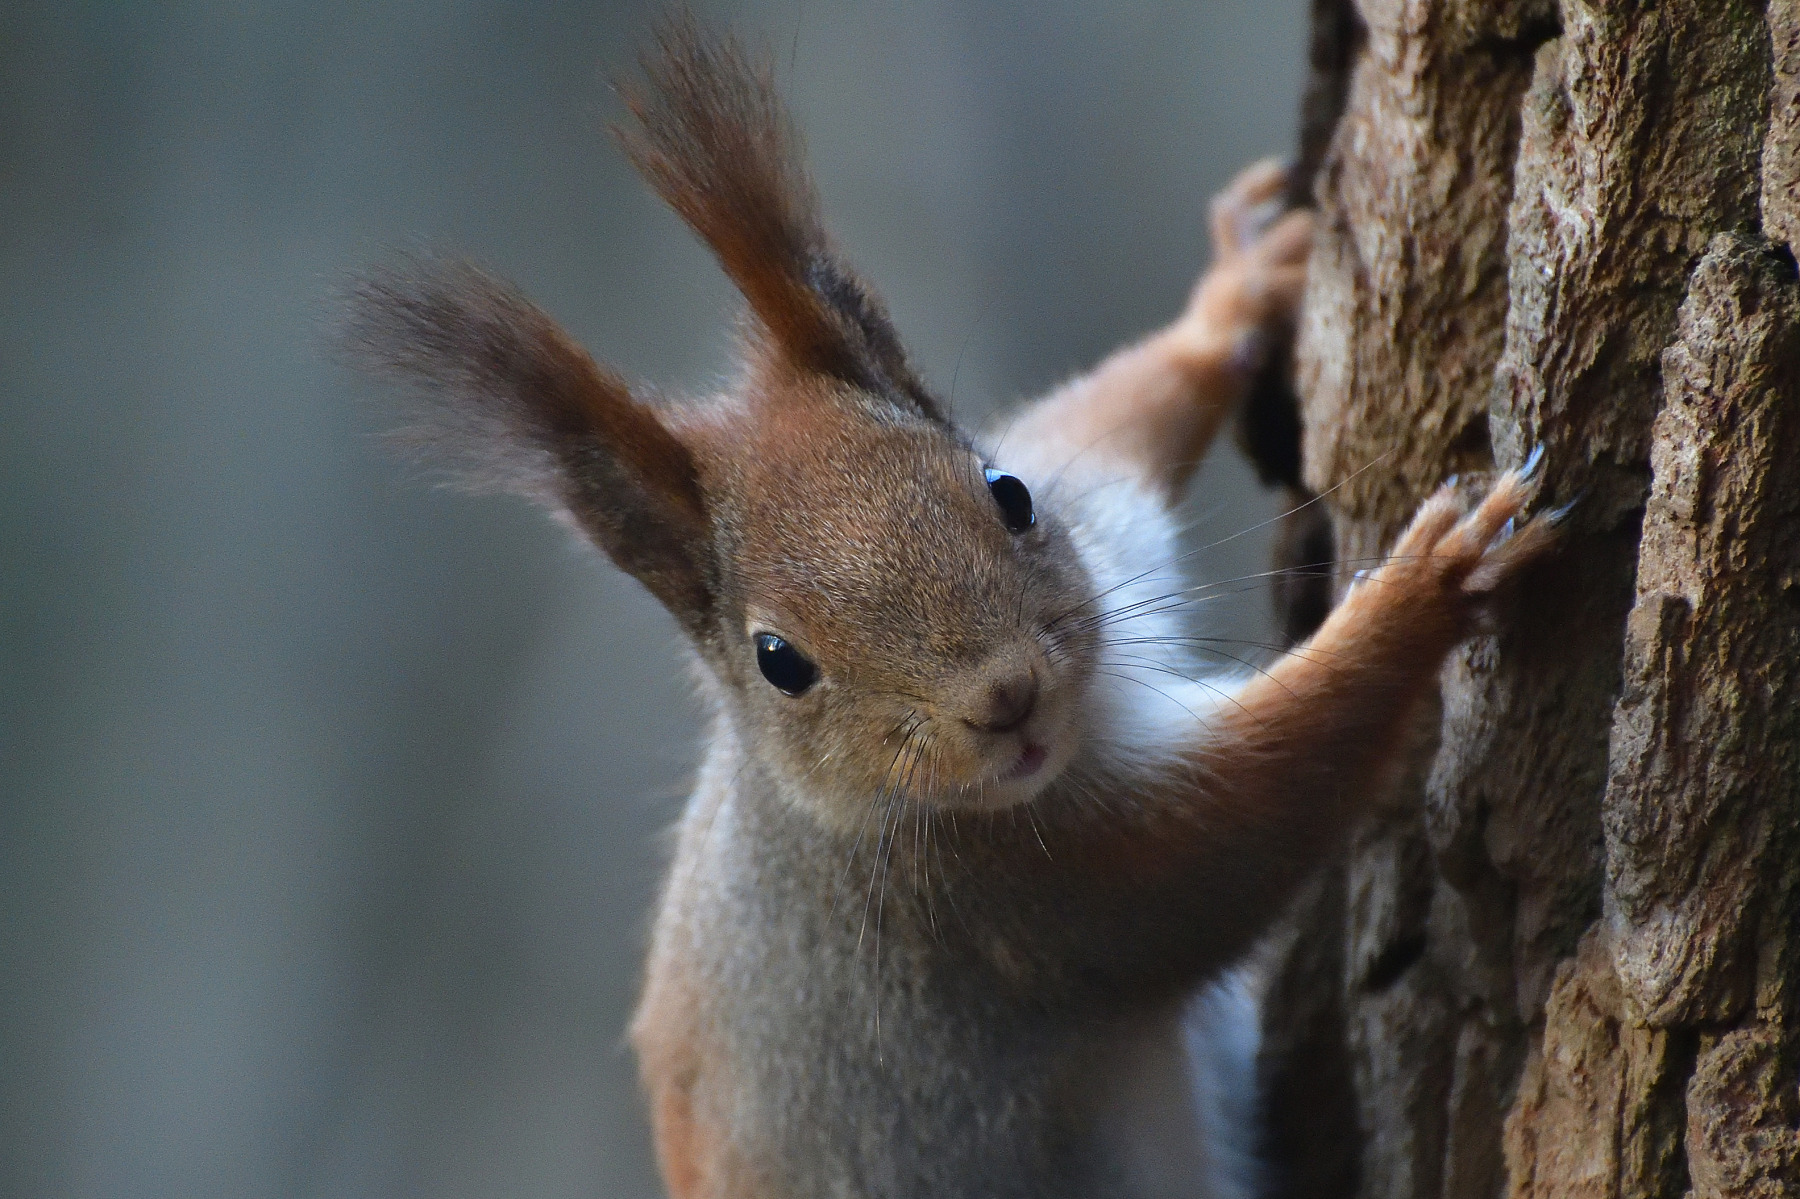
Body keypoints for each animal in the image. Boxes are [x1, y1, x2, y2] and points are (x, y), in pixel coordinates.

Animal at [340, 18, 1562, 1195]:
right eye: (779, 658)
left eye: (1006, 490)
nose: (1004, 697)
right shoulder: (1023, 904)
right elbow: (1257, 813)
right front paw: (1429, 583)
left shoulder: (1093, 504)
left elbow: (1109, 416)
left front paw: (1238, 292)